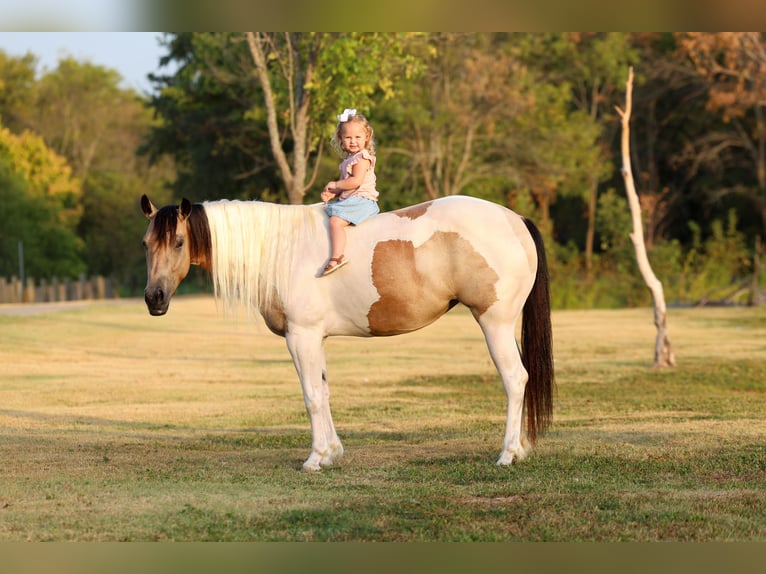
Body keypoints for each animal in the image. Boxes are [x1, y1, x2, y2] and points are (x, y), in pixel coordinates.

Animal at [140, 194, 554, 471]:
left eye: (179, 242)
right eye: (146, 244)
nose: (154, 299)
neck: (281, 251)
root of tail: (514, 219)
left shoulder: (302, 337)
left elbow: (311, 397)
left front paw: (315, 458)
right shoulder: (316, 339)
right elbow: (324, 392)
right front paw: (332, 452)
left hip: (494, 322)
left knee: (515, 379)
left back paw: (506, 454)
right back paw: (519, 449)